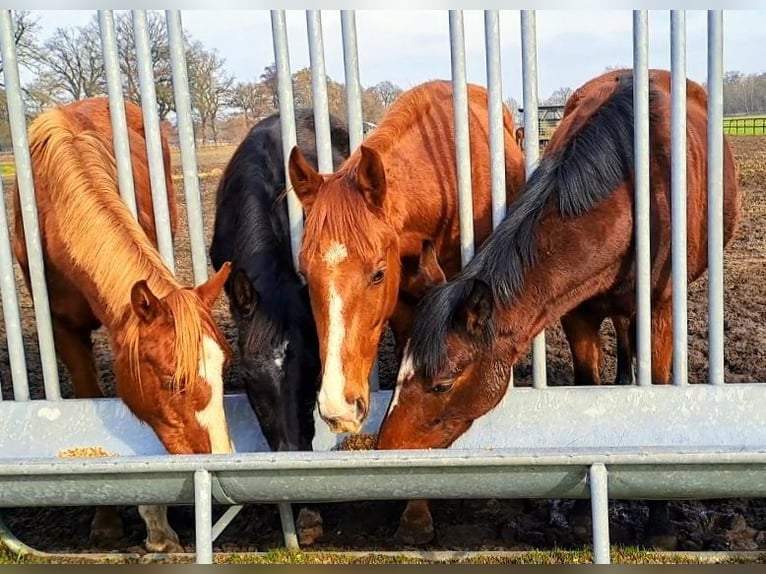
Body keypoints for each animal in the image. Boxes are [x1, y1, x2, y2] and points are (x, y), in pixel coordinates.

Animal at [11, 98, 234, 552]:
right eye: (171, 380)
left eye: (225, 368)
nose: (218, 457)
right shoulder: (63, 329)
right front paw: (108, 519)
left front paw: (157, 524)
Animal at [378, 70, 744, 552]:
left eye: (441, 384)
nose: (386, 449)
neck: (633, 188)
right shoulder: (577, 312)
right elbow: (587, 387)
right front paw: (580, 513)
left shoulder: (659, 310)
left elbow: (659, 394)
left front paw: (660, 521)